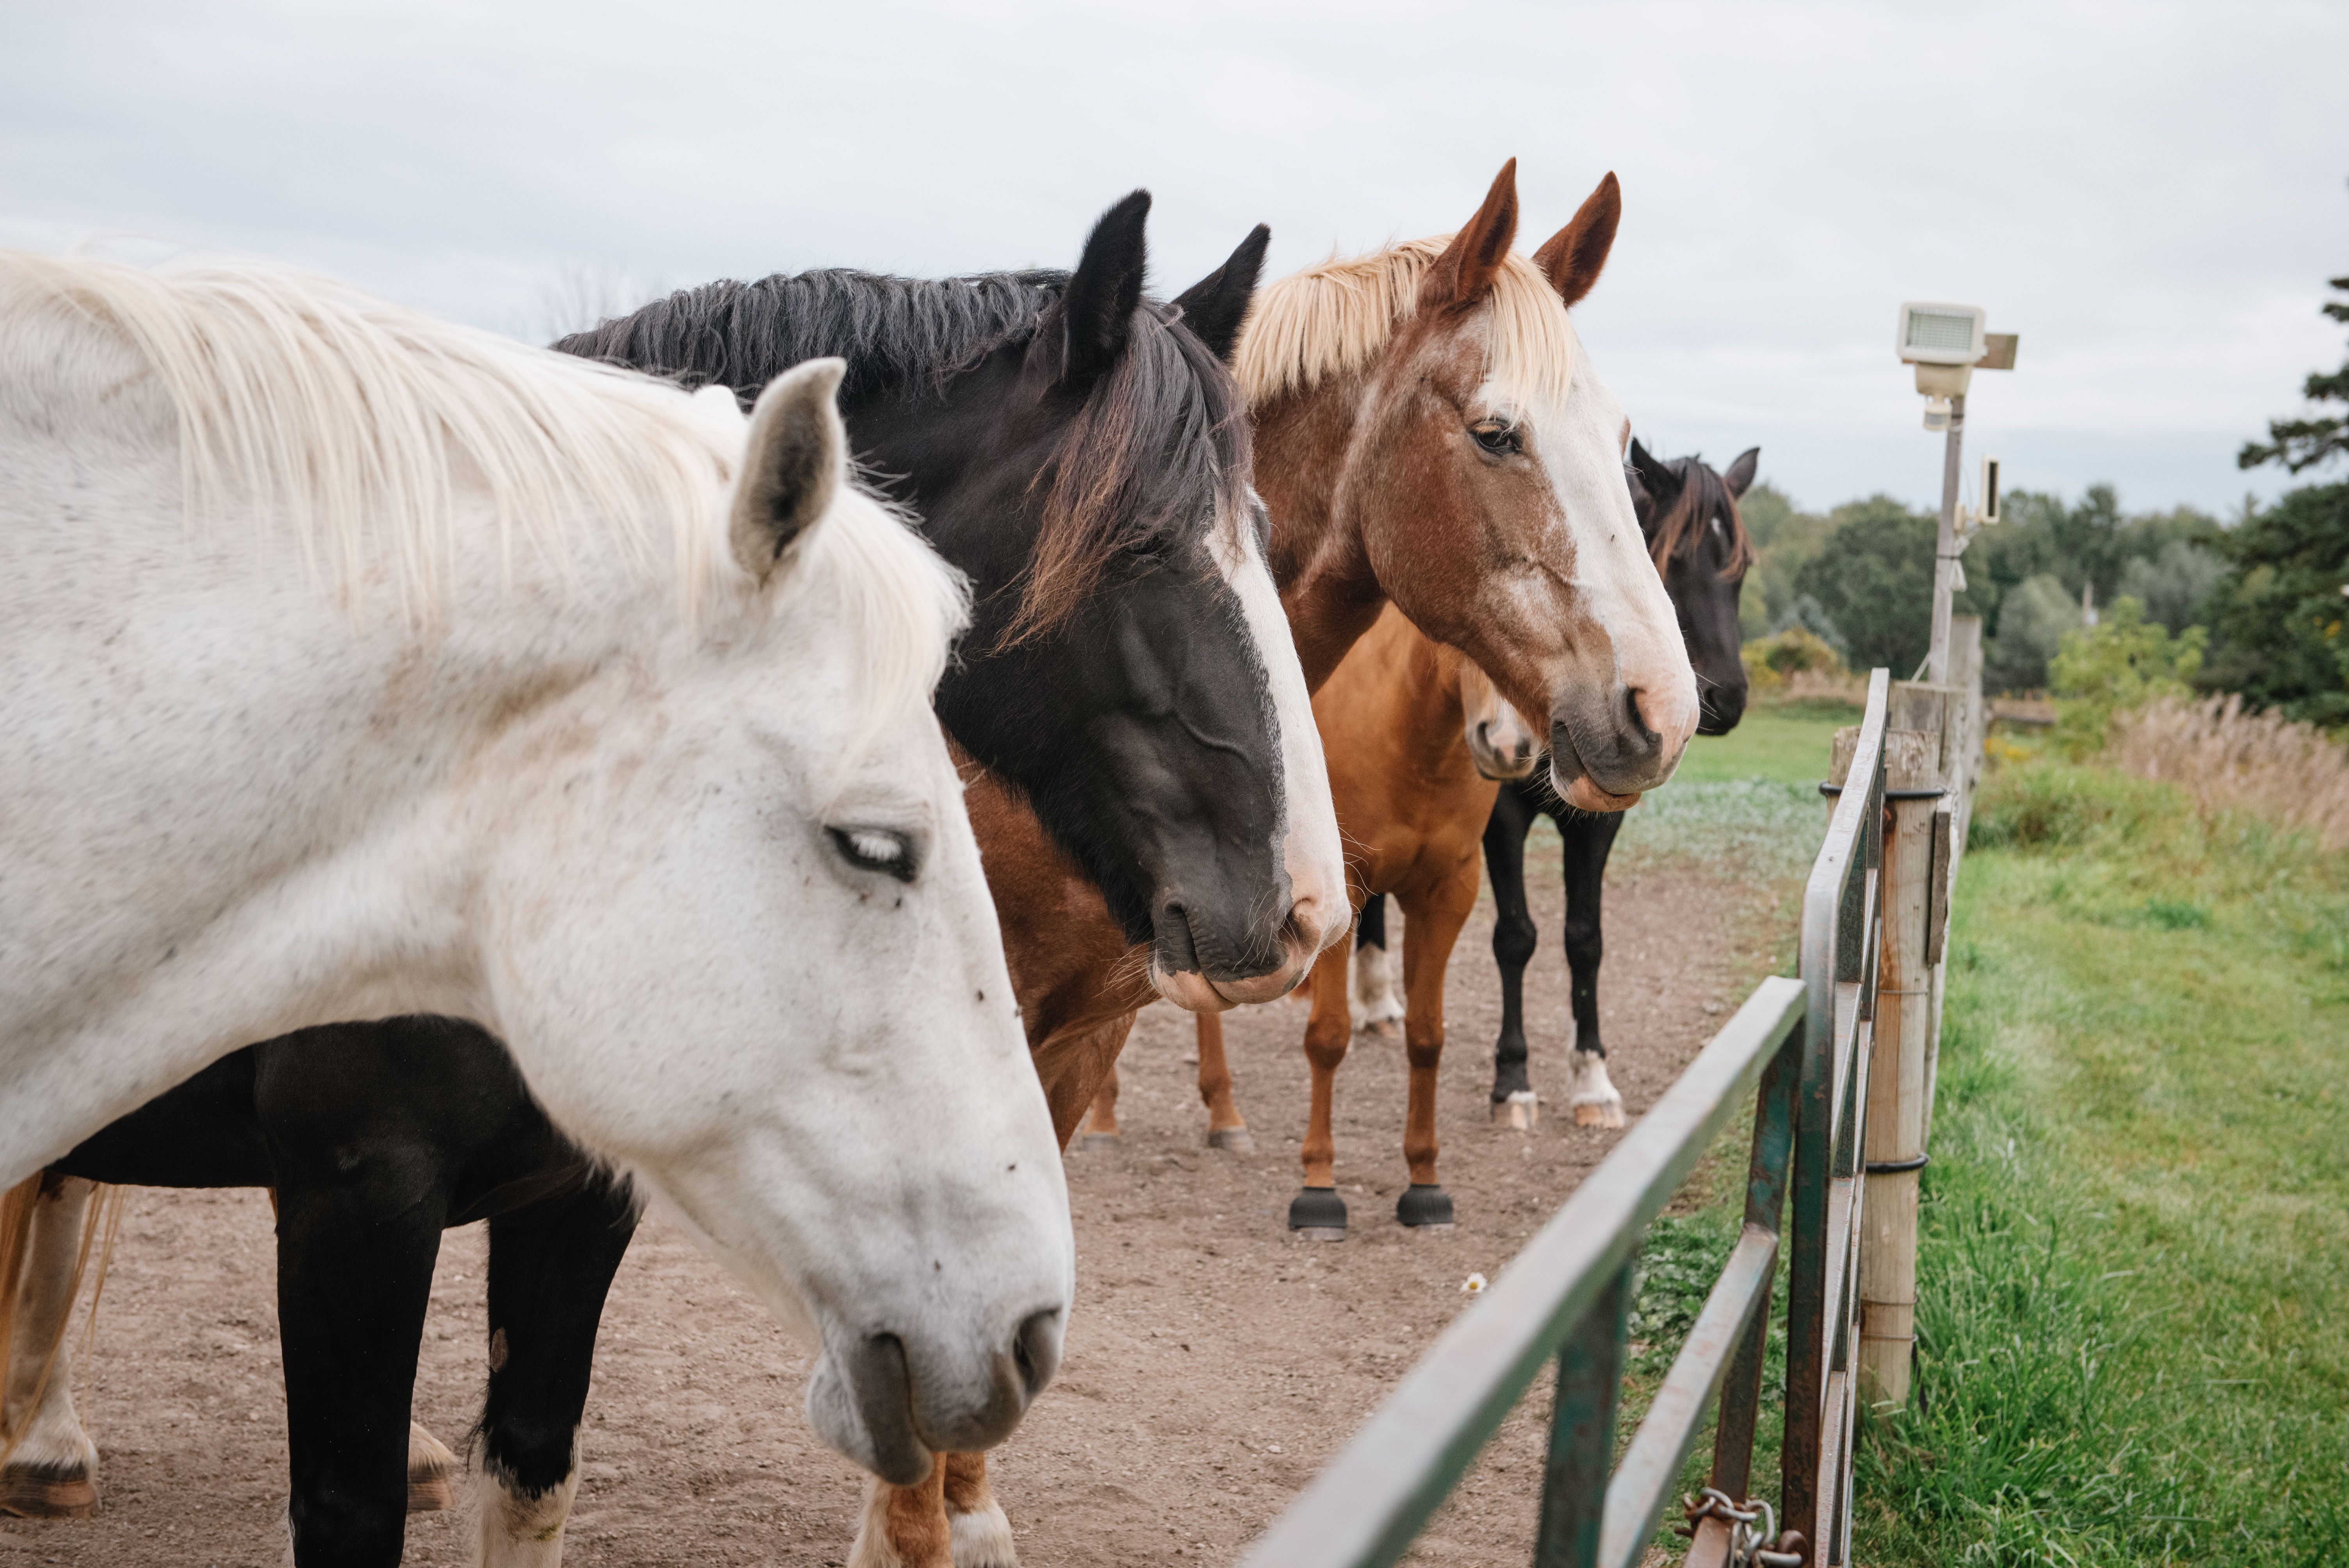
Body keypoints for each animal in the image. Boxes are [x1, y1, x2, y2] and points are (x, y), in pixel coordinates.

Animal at [0, 197, 1339, 1568]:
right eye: (1141, 547)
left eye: (1265, 536)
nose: (1306, 906)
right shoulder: (354, 1201)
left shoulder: (579, 1200)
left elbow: (531, 1475)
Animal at [1479, 440, 1758, 1130]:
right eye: (1676, 558)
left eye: (1739, 569)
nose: (1724, 699)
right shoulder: (1499, 817)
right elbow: (1516, 938)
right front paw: (1513, 1079)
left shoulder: (1601, 821)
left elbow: (1585, 940)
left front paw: (1592, 1079)